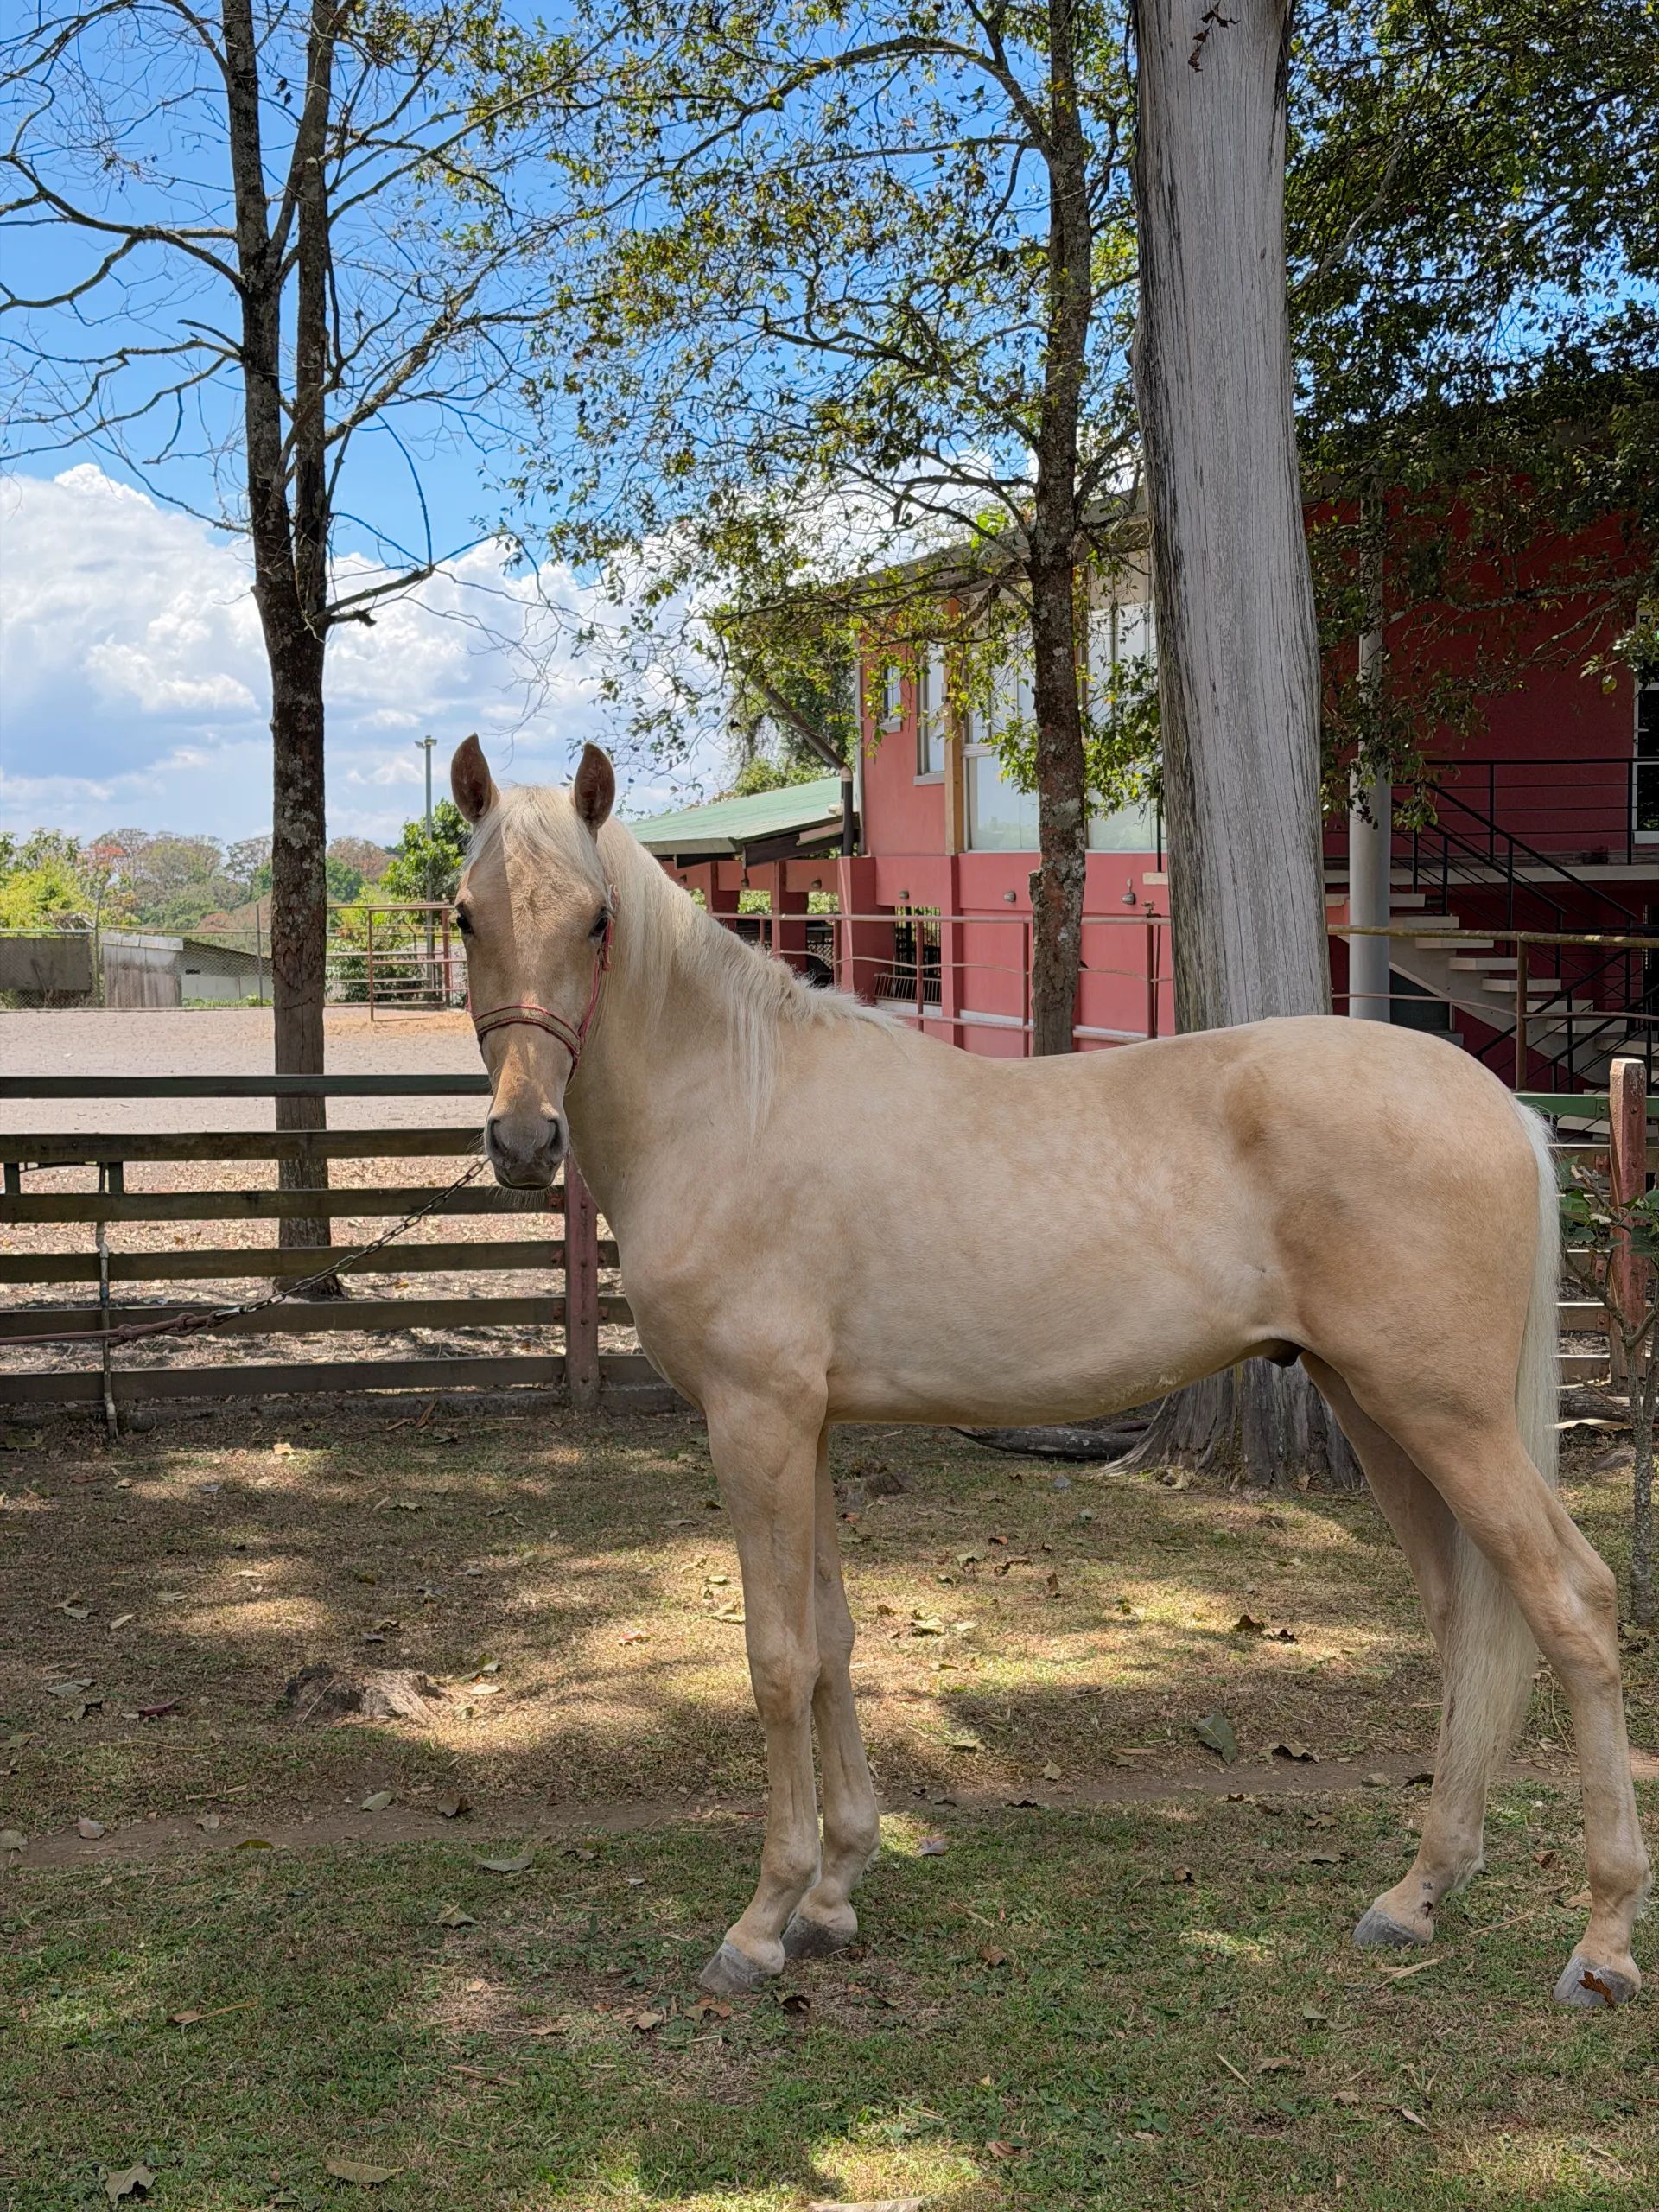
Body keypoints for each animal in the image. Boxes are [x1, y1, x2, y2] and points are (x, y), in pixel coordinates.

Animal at [449, 735, 1650, 2009]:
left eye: (595, 920)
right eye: (466, 914)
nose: (523, 1142)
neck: (738, 1100)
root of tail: (1509, 1110)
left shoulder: (756, 1421)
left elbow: (777, 1659)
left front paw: (765, 1919)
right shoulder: (807, 1426)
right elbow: (832, 1640)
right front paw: (835, 1890)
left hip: (1446, 1416)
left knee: (1571, 1604)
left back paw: (1603, 1944)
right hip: (1380, 1411)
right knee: (1466, 1619)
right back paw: (1417, 1895)